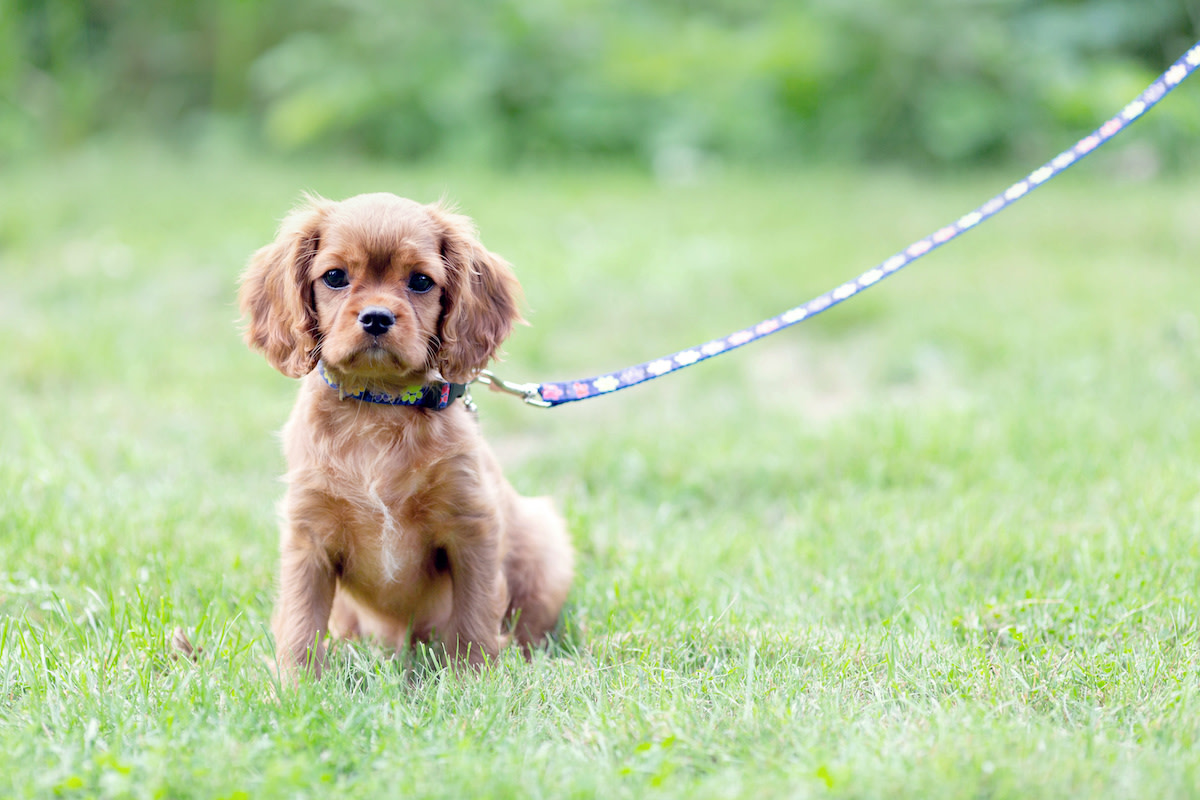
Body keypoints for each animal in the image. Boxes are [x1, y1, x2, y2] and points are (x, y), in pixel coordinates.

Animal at [237, 194, 571, 676]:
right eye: (334, 276)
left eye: (420, 281)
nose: (377, 318)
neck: (380, 406)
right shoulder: (309, 536)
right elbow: (300, 622)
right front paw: (295, 686)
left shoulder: (473, 526)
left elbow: (474, 615)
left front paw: (473, 679)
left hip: (545, 545)